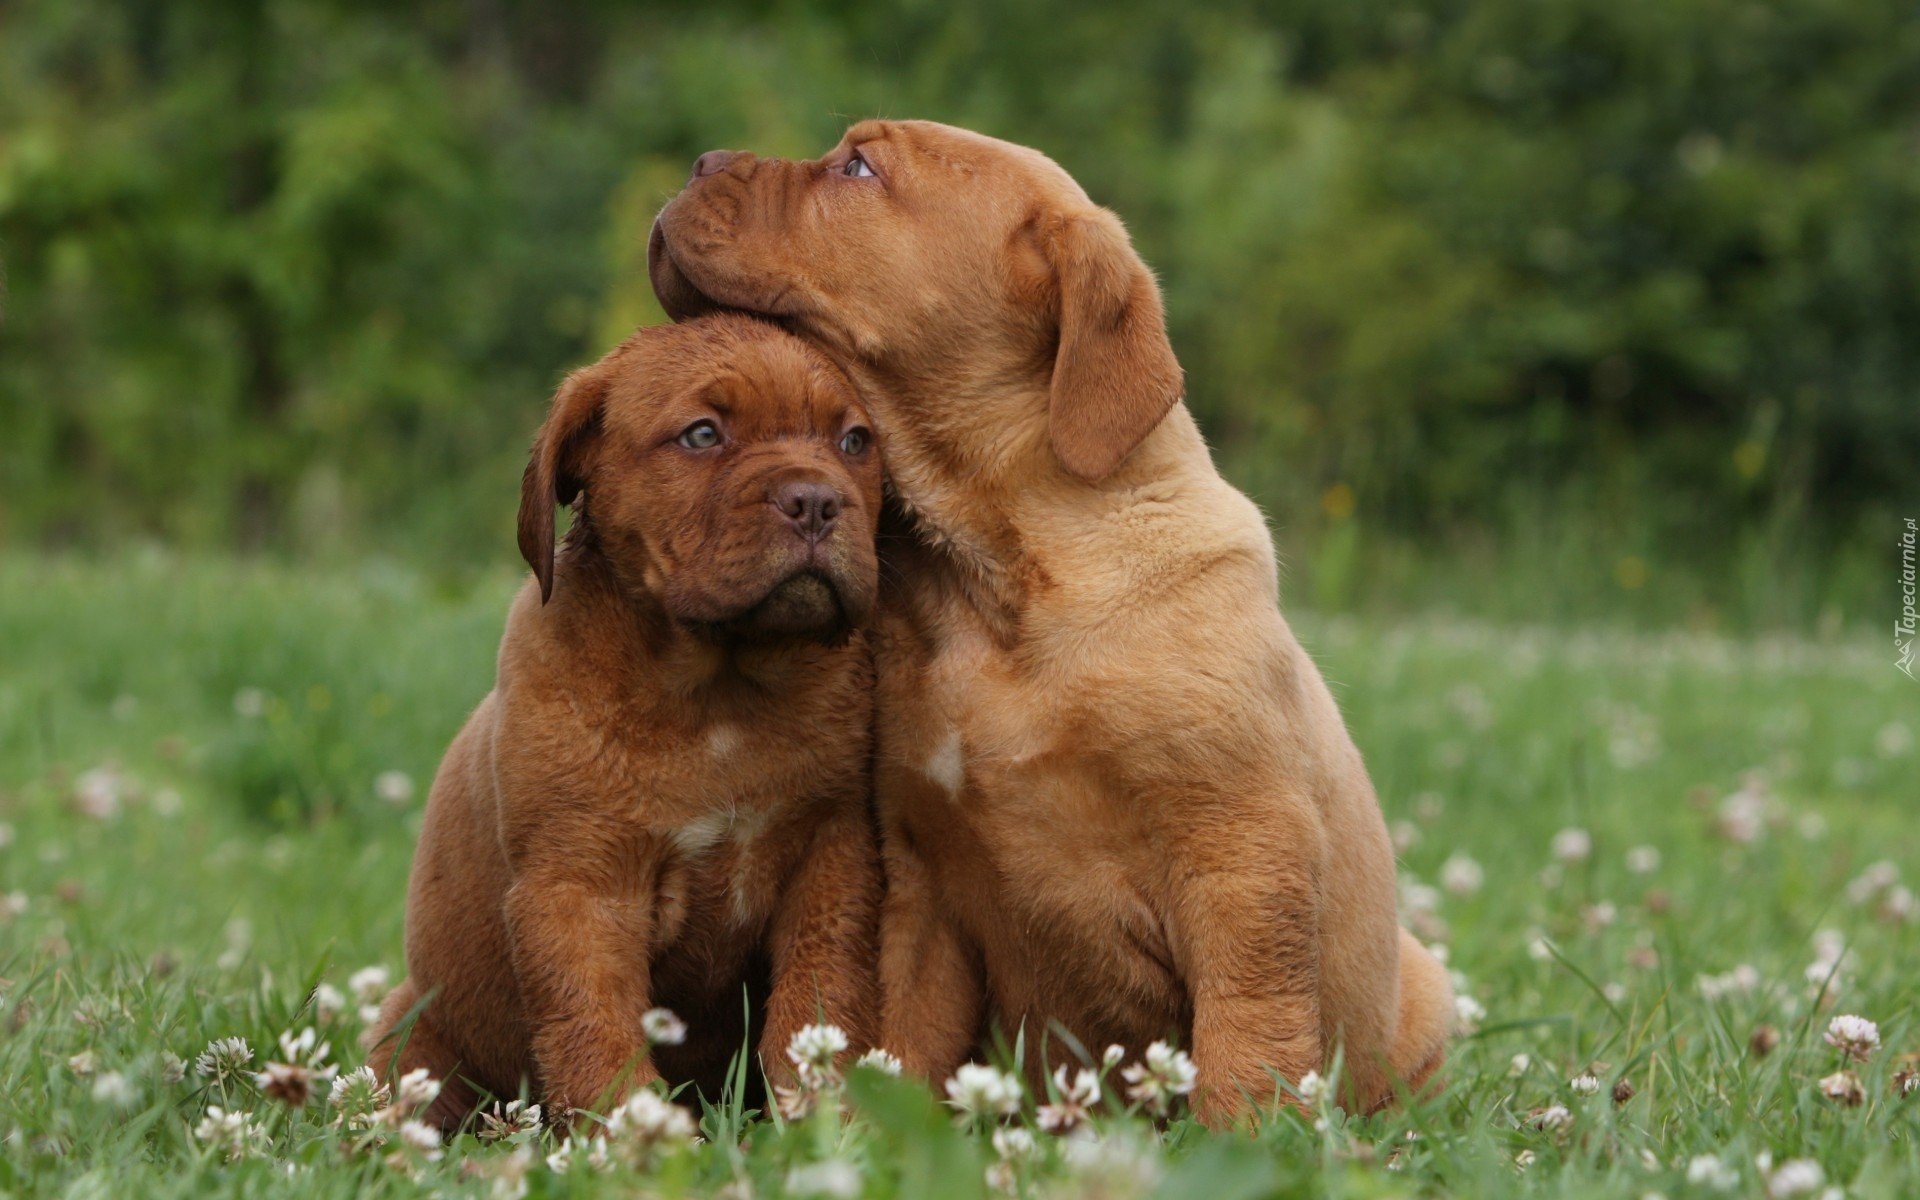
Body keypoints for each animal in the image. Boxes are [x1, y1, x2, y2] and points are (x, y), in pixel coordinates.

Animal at [364, 312, 883, 1128]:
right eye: (702, 435)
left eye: (855, 441)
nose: (817, 502)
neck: (719, 694)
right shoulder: (580, 889)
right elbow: (595, 1034)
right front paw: (638, 1136)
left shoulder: (830, 861)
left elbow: (812, 1009)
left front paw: (820, 1125)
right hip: (413, 1037)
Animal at [648, 121, 1451, 1121]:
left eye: (859, 166)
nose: (701, 161)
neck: (995, 577)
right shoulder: (922, 882)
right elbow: (907, 1035)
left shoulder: (1243, 854)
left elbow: (1249, 1032)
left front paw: (1245, 1141)